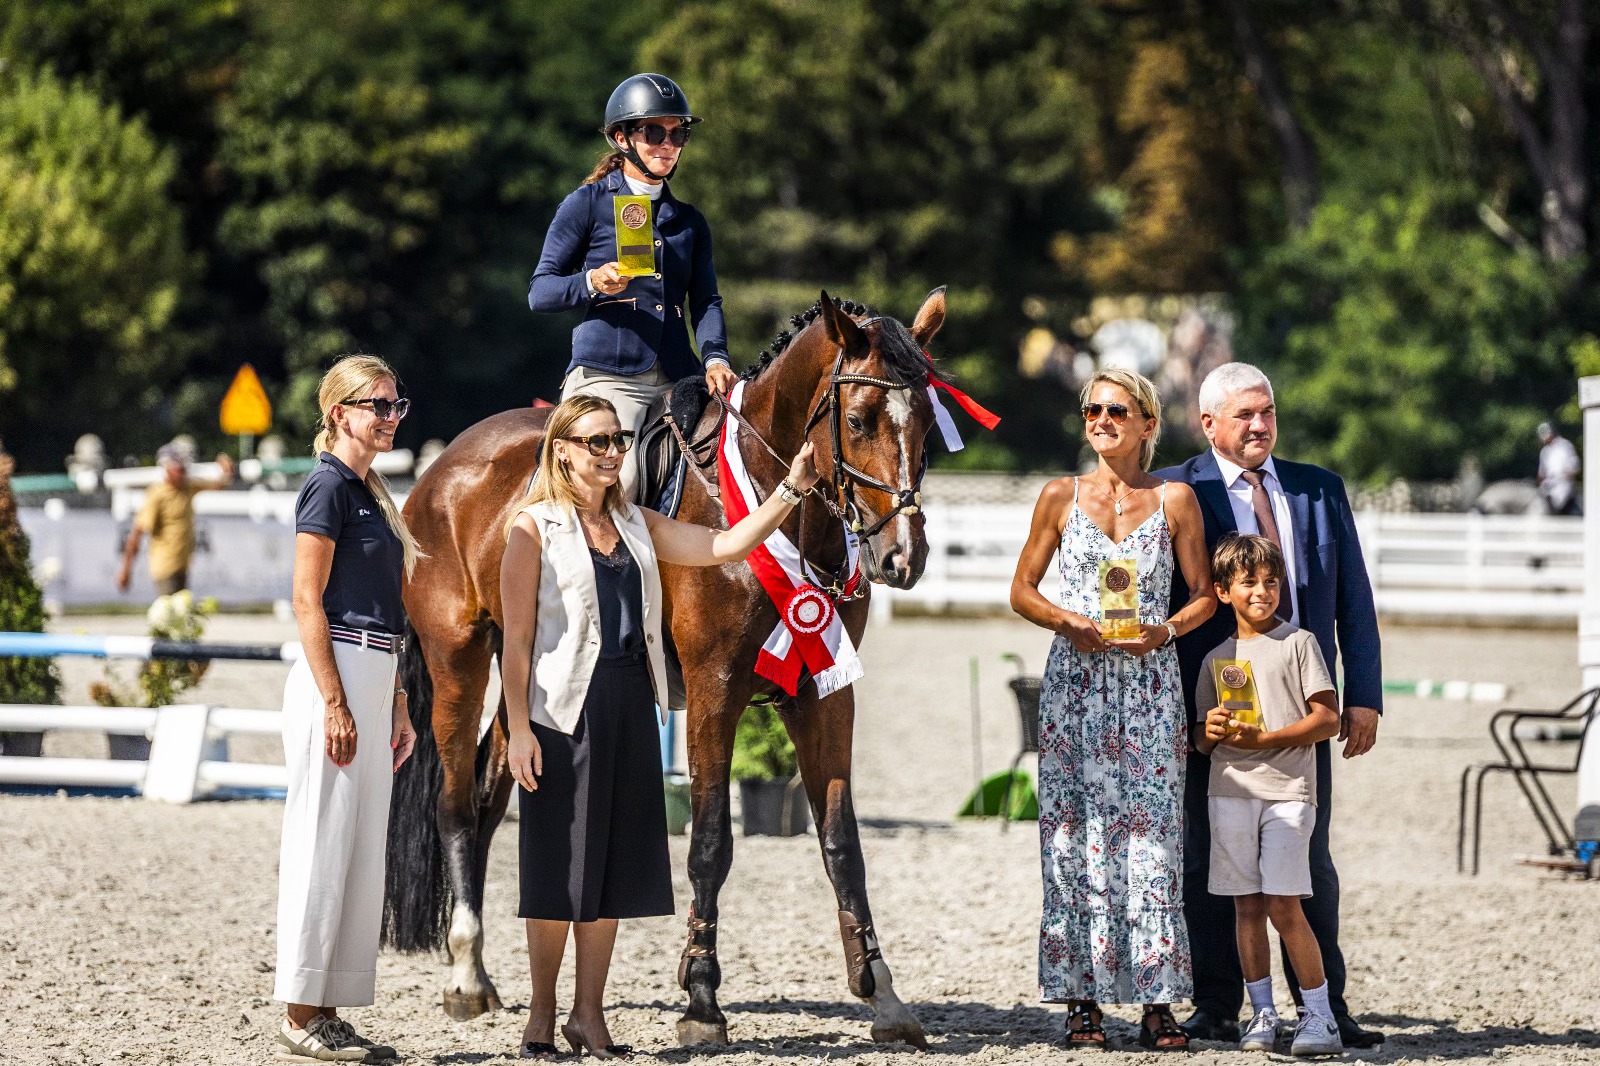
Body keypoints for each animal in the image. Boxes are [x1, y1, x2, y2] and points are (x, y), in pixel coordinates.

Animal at [383, 288, 947, 1050]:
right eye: (856, 421)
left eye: (929, 426)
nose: (902, 558)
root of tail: (442, 468)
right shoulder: (715, 691)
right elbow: (710, 841)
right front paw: (702, 999)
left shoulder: (826, 696)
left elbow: (842, 844)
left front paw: (882, 995)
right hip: (458, 660)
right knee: (454, 802)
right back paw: (467, 979)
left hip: (527, 667)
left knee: (494, 790)